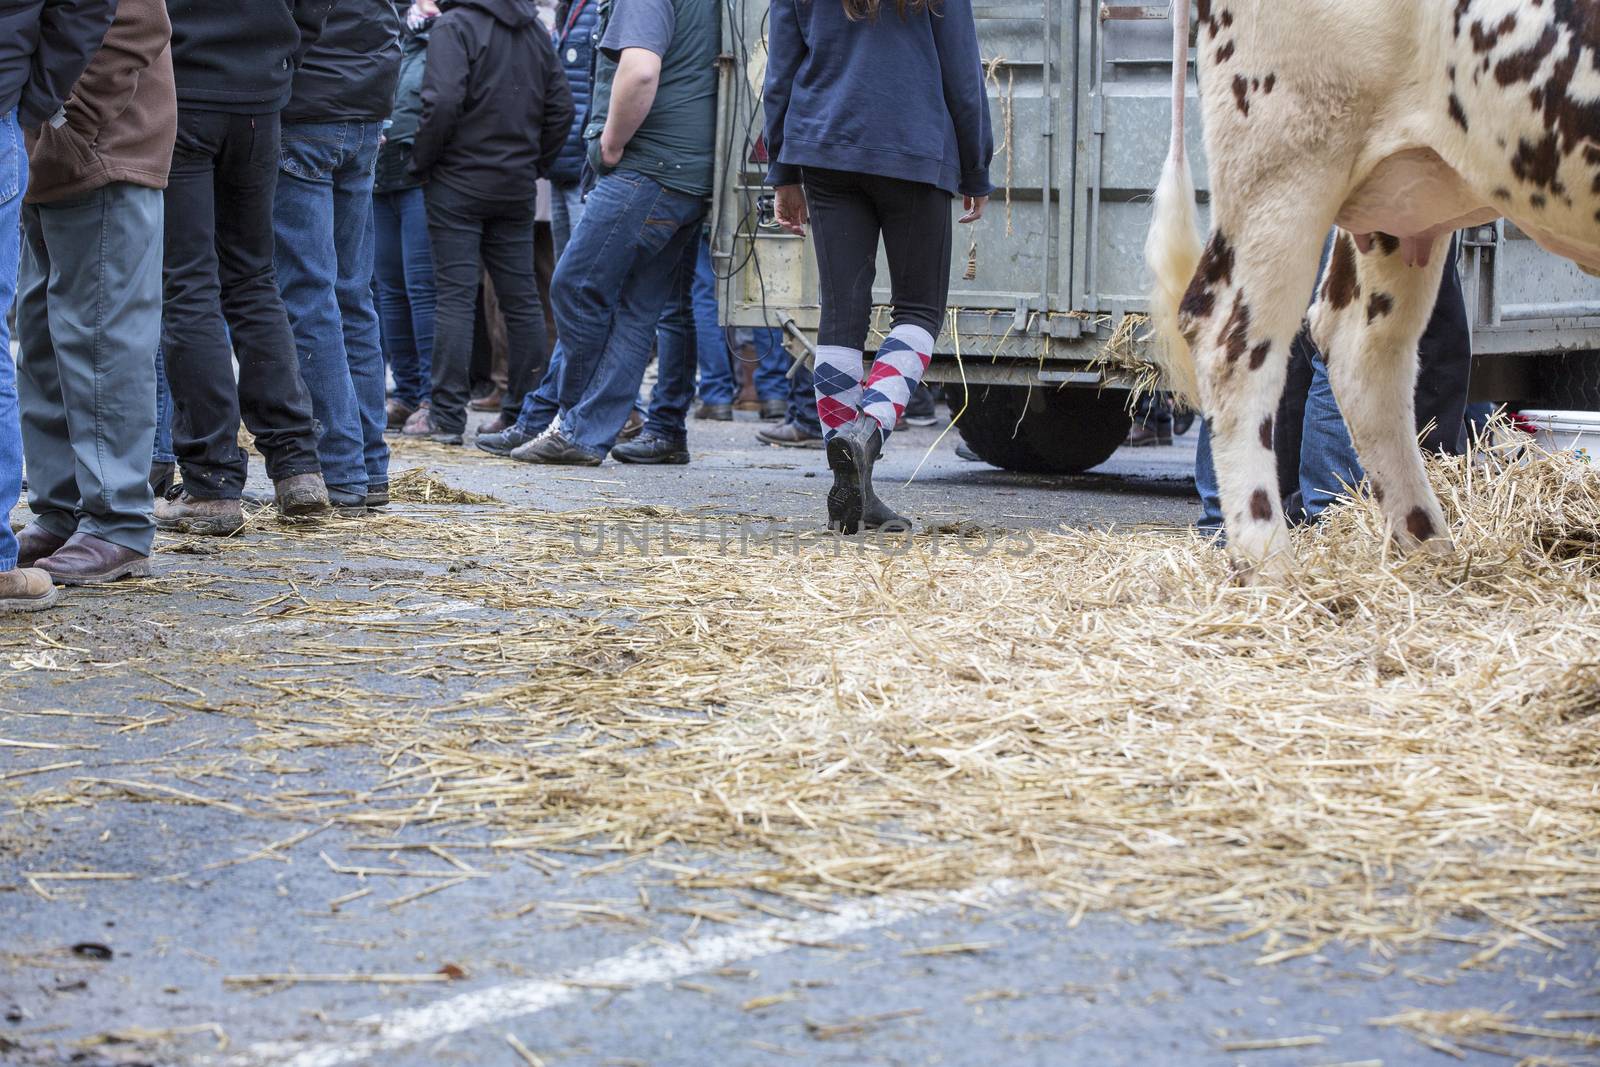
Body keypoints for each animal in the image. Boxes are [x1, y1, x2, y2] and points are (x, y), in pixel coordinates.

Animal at [1145, 0, 1593, 579]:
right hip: (1284, 157)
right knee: (1228, 339)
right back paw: (1271, 566)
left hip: (1399, 196)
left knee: (1362, 350)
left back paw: (1429, 551)